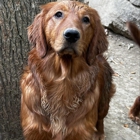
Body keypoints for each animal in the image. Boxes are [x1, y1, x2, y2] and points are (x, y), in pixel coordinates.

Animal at [20, 0, 115, 139]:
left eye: (86, 19)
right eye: (58, 14)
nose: (72, 35)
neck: (63, 78)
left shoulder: (80, 131)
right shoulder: (35, 130)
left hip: (104, 101)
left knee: (101, 117)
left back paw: (99, 133)